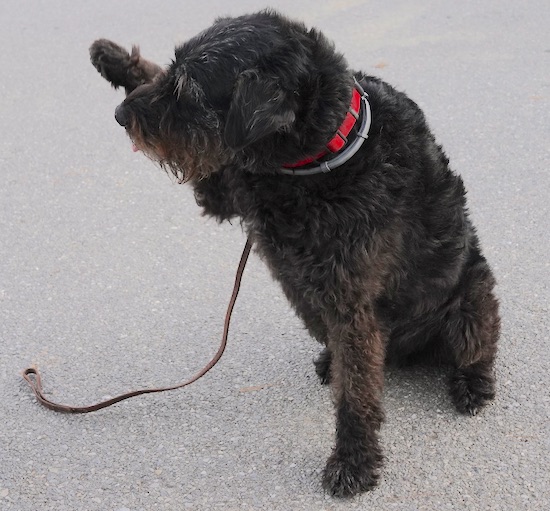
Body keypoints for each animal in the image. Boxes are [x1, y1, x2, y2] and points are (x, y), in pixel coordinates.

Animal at [89, 10, 500, 500]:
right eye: (173, 71)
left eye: (188, 90)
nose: (120, 115)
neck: (320, 157)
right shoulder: (224, 186)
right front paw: (113, 59)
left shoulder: (352, 306)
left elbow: (355, 397)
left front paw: (354, 461)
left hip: (471, 298)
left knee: (476, 348)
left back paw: (471, 383)